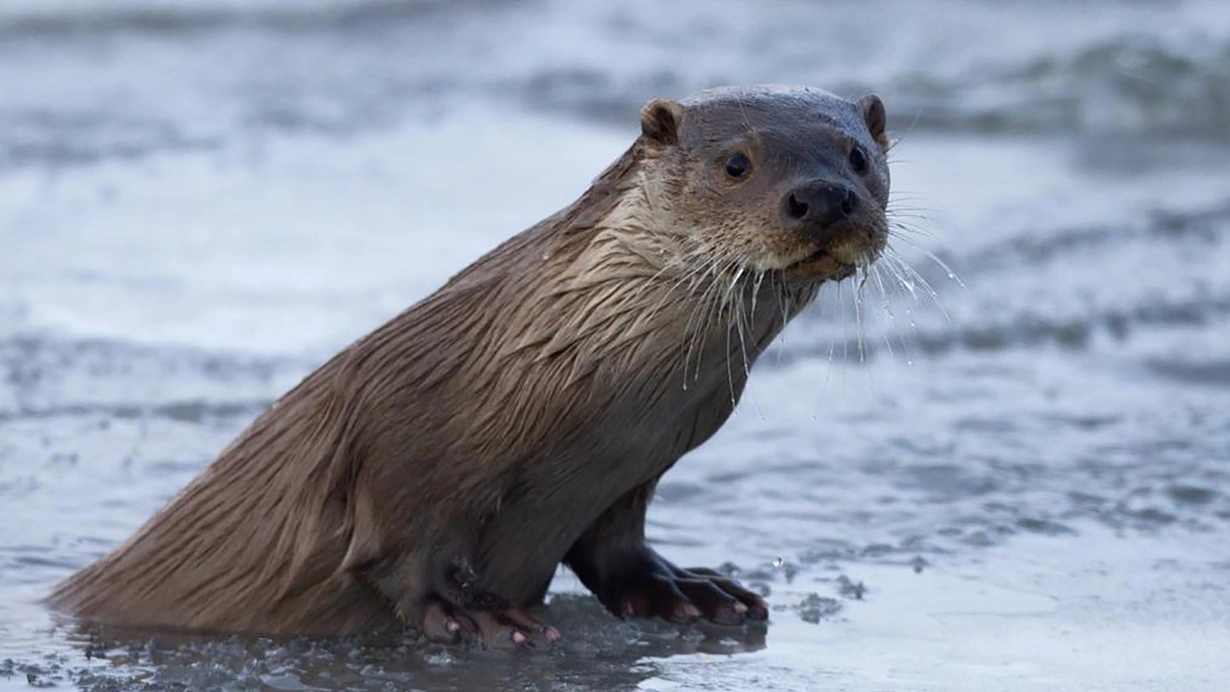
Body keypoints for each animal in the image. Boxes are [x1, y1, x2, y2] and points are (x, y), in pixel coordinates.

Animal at [50, 85, 895, 648]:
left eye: (859, 156)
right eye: (736, 163)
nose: (824, 197)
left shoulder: (636, 465)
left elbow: (616, 545)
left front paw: (685, 590)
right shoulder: (397, 429)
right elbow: (402, 547)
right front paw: (476, 612)